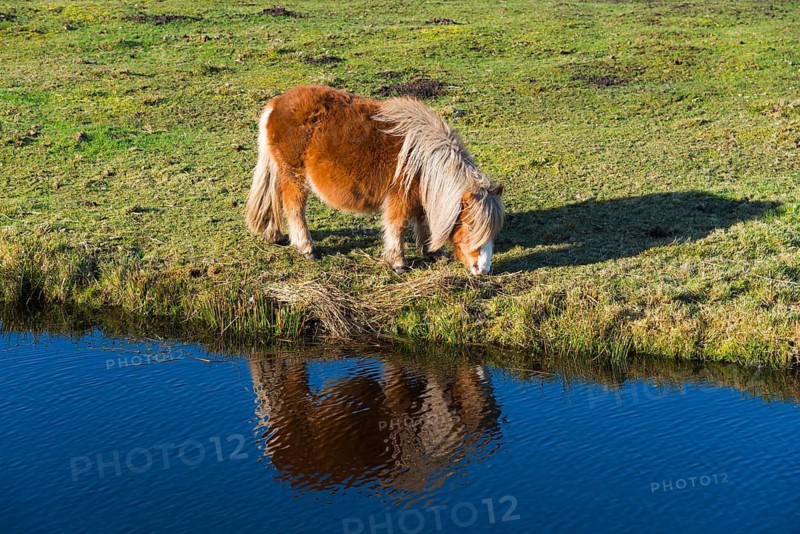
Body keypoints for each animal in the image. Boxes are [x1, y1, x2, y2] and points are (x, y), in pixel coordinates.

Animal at [245, 85, 504, 275]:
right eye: (471, 226)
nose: (483, 270)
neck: (423, 158)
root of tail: (276, 103)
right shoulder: (399, 198)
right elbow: (397, 226)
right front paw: (398, 263)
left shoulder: (419, 195)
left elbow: (422, 220)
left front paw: (429, 251)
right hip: (294, 176)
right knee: (294, 208)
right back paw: (307, 248)